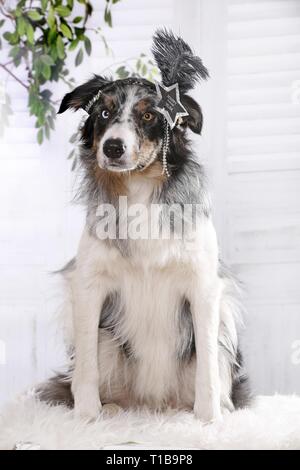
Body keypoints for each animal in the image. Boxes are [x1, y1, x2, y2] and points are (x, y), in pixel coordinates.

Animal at [39, 31, 251, 424]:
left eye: (149, 114)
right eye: (103, 113)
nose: (113, 147)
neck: (139, 190)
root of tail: (152, 403)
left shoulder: (204, 286)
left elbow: (207, 369)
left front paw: (209, 420)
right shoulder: (89, 285)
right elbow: (86, 367)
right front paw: (87, 418)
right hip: (111, 342)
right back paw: (111, 409)